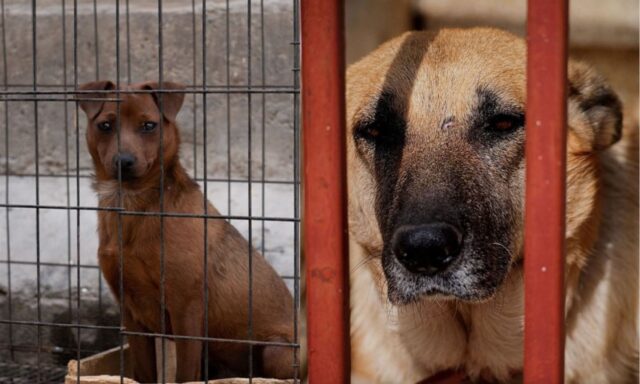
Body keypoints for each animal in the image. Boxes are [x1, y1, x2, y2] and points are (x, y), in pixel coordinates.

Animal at [78, 80, 296, 380]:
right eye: (105, 125)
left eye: (149, 125)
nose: (124, 161)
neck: (134, 205)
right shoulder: (132, 314)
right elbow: (144, 373)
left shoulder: (186, 310)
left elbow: (184, 374)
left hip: (276, 351)